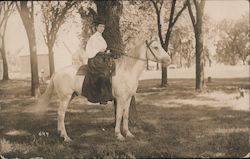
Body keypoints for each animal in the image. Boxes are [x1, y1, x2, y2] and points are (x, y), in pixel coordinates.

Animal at [35, 37, 170, 142]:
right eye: (156, 47)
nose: (168, 59)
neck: (127, 70)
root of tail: (57, 73)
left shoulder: (128, 98)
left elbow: (126, 115)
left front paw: (128, 133)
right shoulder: (120, 99)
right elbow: (119, 115)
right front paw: (119, 135)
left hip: (70, 96)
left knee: (60, 114)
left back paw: (61, 133)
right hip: (65, 97)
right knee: (61, 114)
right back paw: (66, 137)